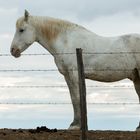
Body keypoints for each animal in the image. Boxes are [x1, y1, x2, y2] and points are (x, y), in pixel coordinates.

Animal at [10, 10, 139, 130]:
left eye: (21, 30)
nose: (13, 50)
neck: (66, 41)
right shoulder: (67, 76)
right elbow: (73, 98)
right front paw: (76, 124)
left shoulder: (74, 74)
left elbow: (77, 97)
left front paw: (77, 125)